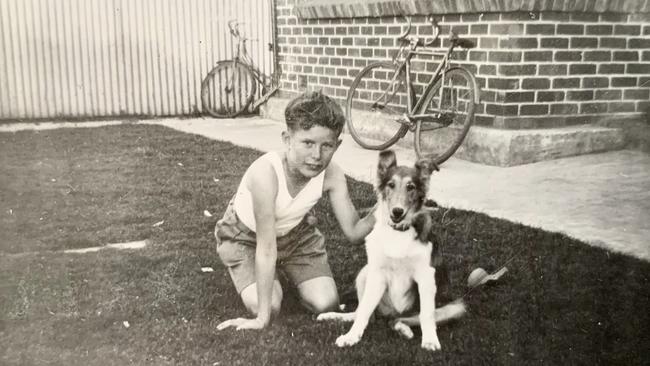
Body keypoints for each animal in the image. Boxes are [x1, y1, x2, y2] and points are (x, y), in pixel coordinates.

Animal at [316, 149, 464, 352]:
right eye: (391, 185)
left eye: (411, 187)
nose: (397, 212)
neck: (398, 232)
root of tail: (391, 313)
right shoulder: (377, 274)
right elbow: (364, 312)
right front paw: (351, 337)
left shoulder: (426, 276)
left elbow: (426, 315)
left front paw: (430, 341)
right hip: (365, 273)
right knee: (366, 314)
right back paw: (335, 316)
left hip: (455, 307)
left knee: (404, 319)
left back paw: (404, 329)